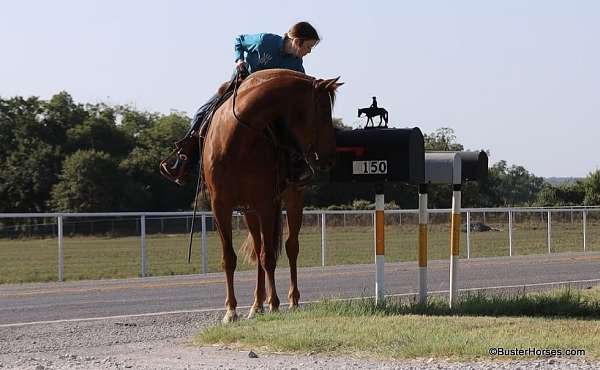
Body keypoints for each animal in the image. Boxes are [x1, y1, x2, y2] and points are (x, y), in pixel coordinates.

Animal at [202, 68, 342, 322]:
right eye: (324, 113)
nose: (329, 158)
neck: (237, 138)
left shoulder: (266, 203)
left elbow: (269, 256)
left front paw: (275, 303)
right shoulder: (221, 206)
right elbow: (230, 258)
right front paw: (231, 310)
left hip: (292, 200)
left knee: (290, 247)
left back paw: (292, 300)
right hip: (249, 211)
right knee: (258, 250)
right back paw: (256, 304)